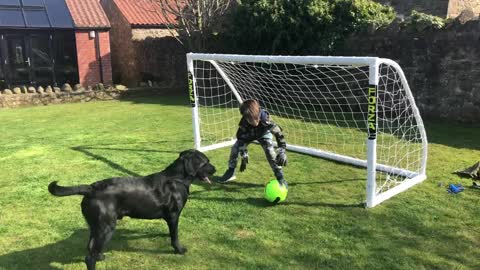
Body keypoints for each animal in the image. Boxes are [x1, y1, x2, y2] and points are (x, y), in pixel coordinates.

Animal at [47, 150, 216, 270]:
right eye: (206, 162)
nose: (215, 170)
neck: (177, 178)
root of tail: (90, 188)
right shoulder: (174, 215)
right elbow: (174, 235)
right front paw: (179, 250)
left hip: (96, 226)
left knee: (91, 248)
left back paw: (100, 257)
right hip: (106, 227)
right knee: (89, 257)